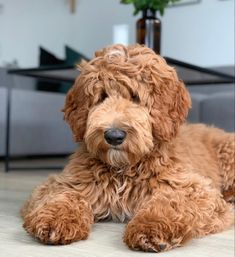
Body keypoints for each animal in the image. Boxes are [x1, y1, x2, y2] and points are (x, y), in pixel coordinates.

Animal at [21, 44, 234, 252]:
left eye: (135, 97)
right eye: (102, 96)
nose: (114, 136)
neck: (123, 170)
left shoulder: (194, 188)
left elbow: (170, 201)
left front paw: (151, 227)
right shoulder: (66, 181)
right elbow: (65, 195)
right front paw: (55, 219)